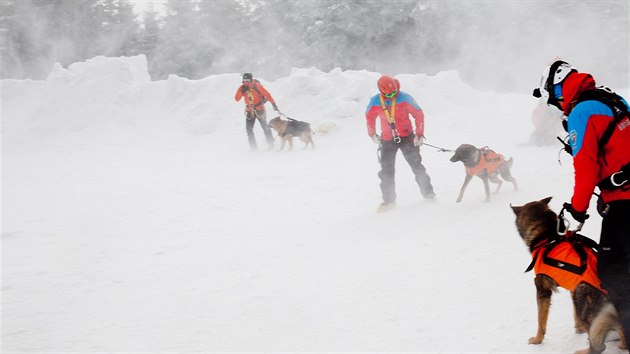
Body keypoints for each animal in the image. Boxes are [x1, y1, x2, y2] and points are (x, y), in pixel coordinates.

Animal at [512, 198, 628, 352]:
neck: (547, 238)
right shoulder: (572, 289)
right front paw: (577, 329)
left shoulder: (542, 290)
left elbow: (541, 322)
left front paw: (537, 340)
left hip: (587, 308)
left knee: (599, 343)